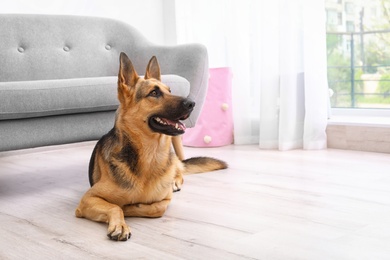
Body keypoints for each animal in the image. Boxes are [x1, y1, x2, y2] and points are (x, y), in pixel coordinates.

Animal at [75, 52, 227, 242]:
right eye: (154, 93)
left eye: (170, 91)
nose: (192, 103)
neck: (150, 155)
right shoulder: (88, 198)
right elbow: (114, 206)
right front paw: (120, 224)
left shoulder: (166, 199)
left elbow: (156, 208)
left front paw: (130, 208)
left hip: (174, 162)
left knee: (180, 170)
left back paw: (175, 180)